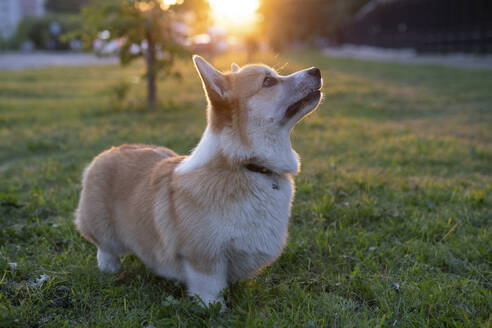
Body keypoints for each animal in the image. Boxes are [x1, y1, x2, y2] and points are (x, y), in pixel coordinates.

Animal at [74, 53, 322, 308]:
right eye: (268, 82)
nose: (316, 70)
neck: (246, 166)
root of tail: (110, 150)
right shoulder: (204, 257)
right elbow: (211, 290)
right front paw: (215, 310)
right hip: (102, 226)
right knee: (104, 247)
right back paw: (109, 267)